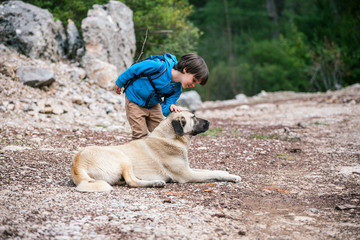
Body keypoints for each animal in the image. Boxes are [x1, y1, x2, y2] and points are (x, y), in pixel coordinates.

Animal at [70, 111, 240, 192]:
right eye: (194, 117)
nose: (209, 122)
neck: (171, 138)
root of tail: (77, 165)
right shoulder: (187, 174)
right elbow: (212, 174)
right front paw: (231, 177)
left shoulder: (189, 168)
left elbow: (212, 170)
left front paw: (229, 173)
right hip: (123, 157)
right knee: (131, 182)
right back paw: (155, 183)